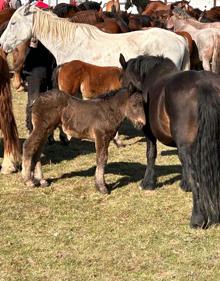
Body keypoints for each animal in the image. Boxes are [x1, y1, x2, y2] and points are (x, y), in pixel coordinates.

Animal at [119, 53, 220, 228]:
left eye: (122, 81)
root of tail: (204, 84)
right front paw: (184, 185)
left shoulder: (149, 133)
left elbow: (151, 154)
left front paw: (148, 183)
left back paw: (197, 218)